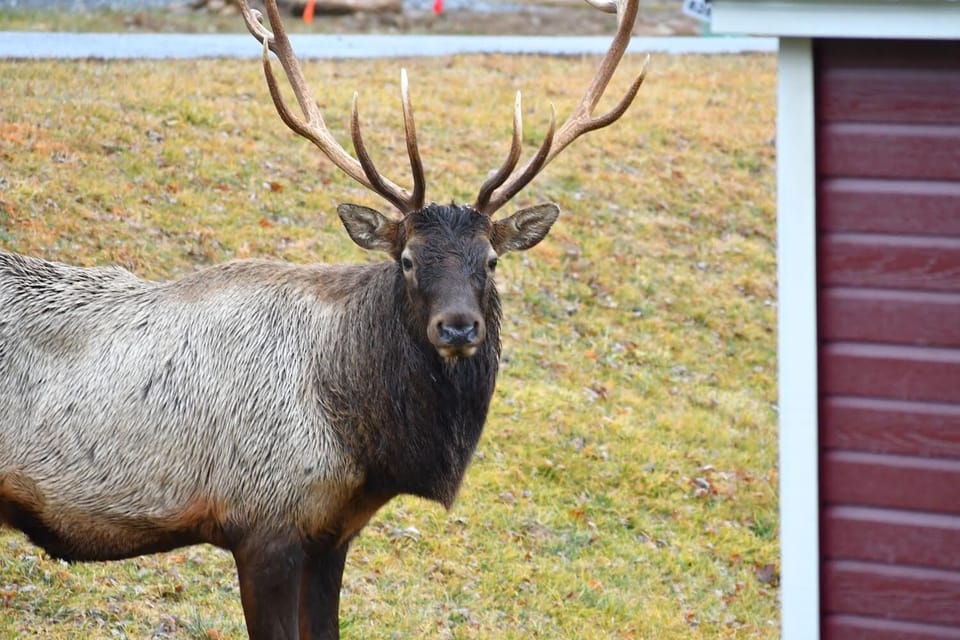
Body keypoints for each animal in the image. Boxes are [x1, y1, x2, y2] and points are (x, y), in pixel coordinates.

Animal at [0, 1, 647, 637]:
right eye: (407, 259)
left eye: (490, 260)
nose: (459, 327)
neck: (362, 441)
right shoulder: (263, 526)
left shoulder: (332, 534)